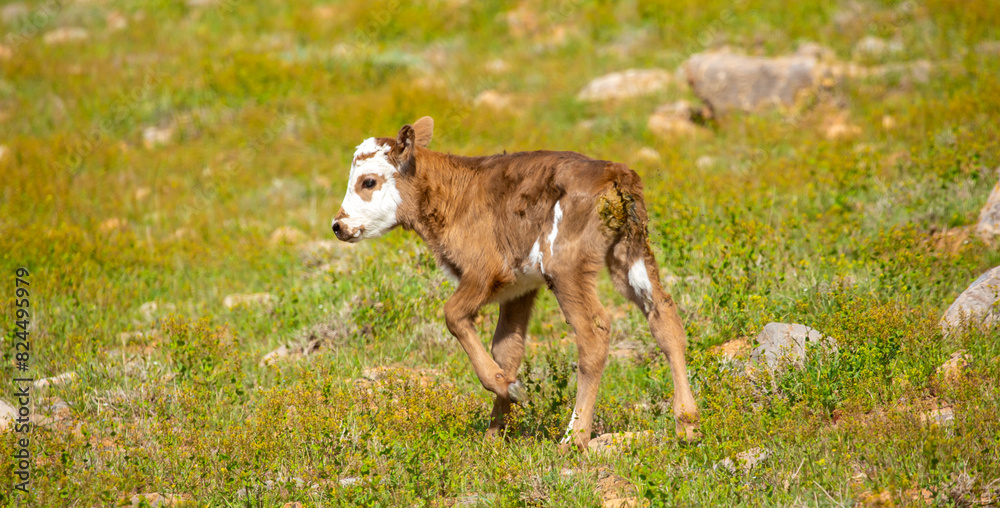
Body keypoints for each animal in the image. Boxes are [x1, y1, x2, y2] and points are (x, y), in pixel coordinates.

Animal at [332, 117, 699, 450]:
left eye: (368, 181)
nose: (338, 225)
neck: (452, 195)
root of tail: (615, 174)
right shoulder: (518, 287)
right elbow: (507, 348)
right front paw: (494, 435)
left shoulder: (485, 270)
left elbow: (453, 314)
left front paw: (510, 388)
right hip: (630, 251)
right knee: (664, 315)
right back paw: (687, 424)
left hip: (565, 266)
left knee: (594, 332)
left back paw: (574, 438)